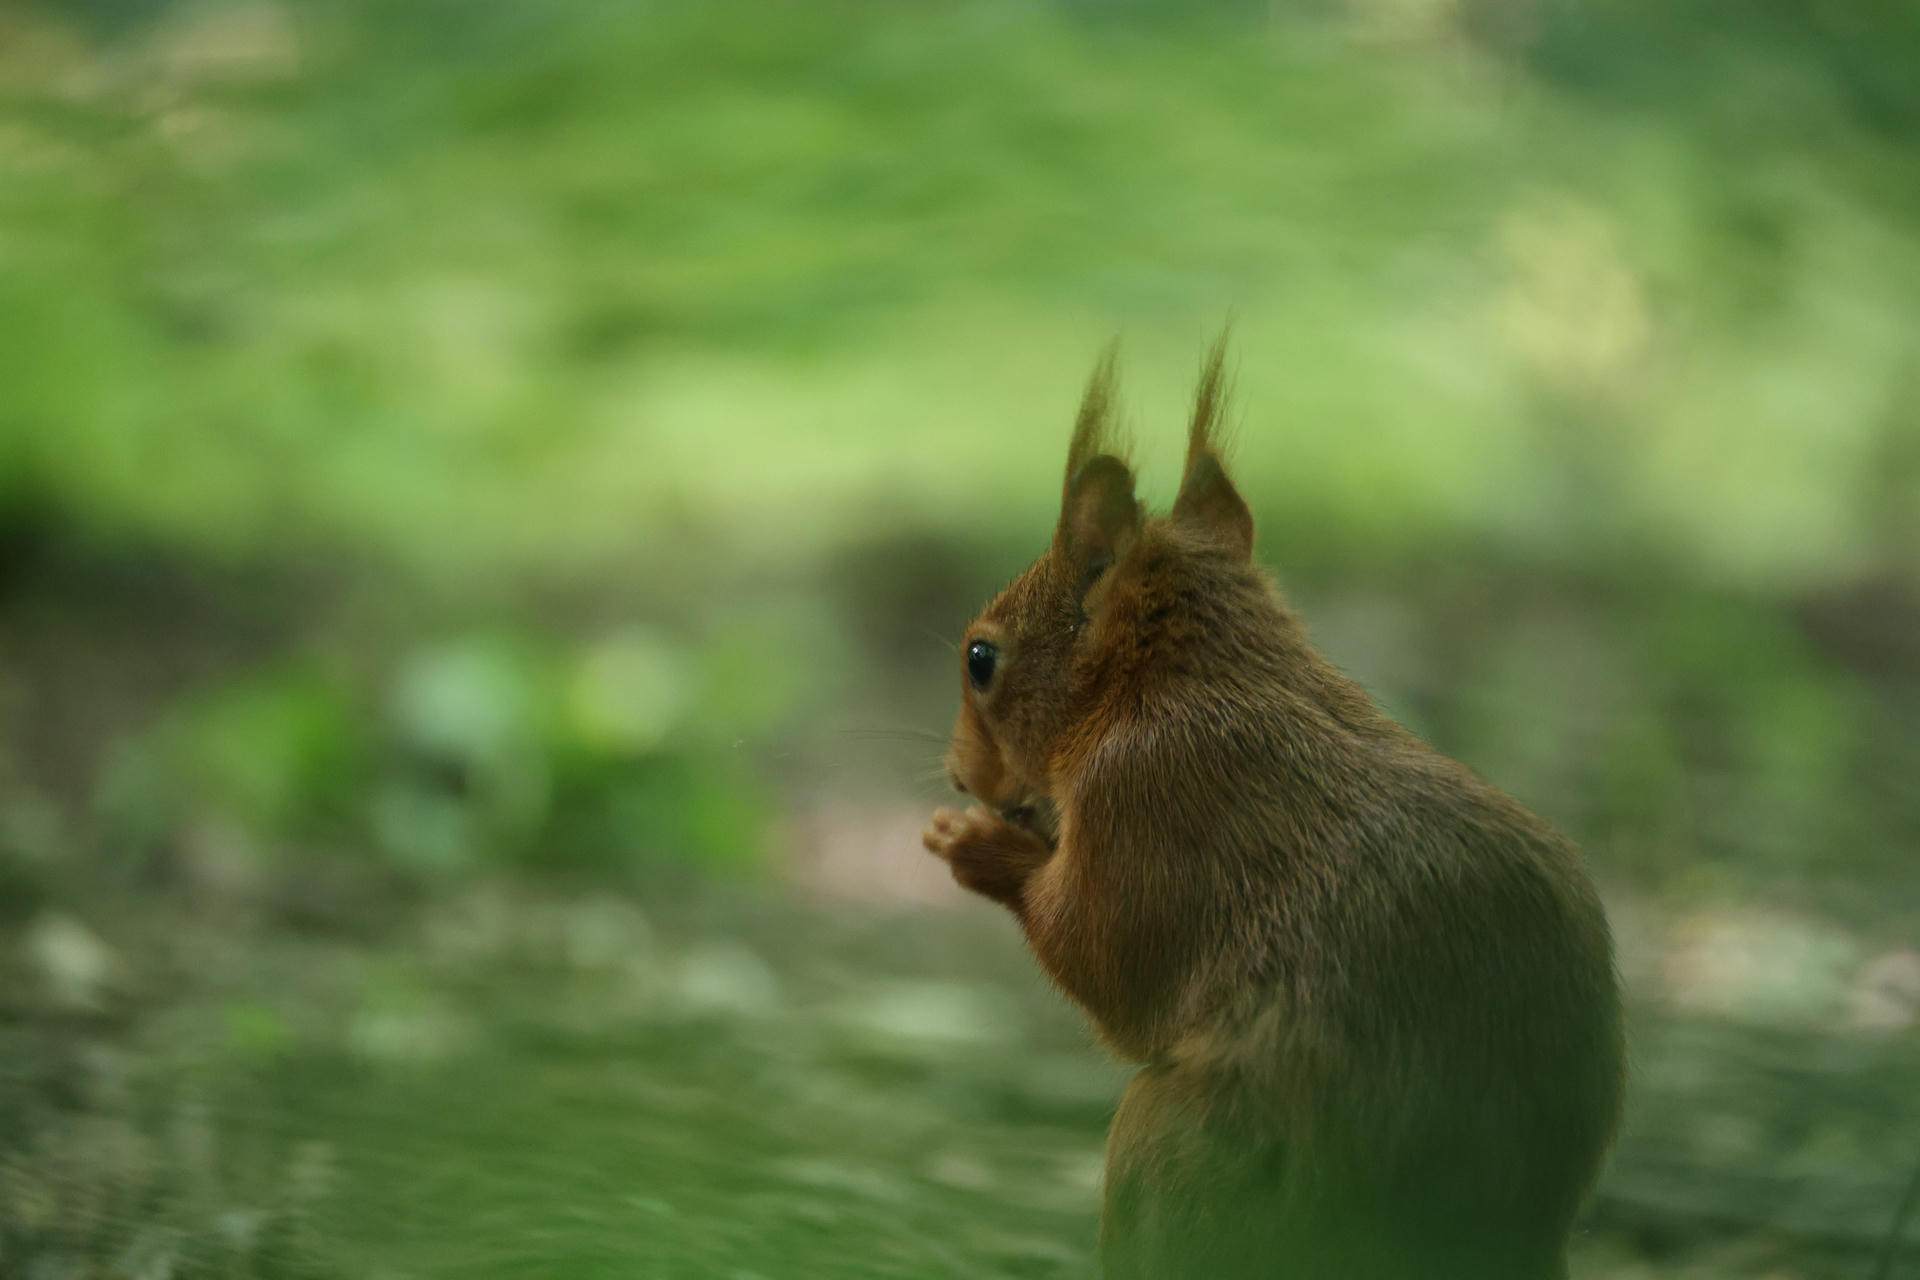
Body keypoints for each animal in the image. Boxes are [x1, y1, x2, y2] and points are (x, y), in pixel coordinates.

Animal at [922, 340, 1626, 1280]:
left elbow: (1108, 966)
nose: (962, 779)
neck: (1168, 683)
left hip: (1170, 1151)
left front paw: (980, 850)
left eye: (980, 658)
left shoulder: (1145, 799)